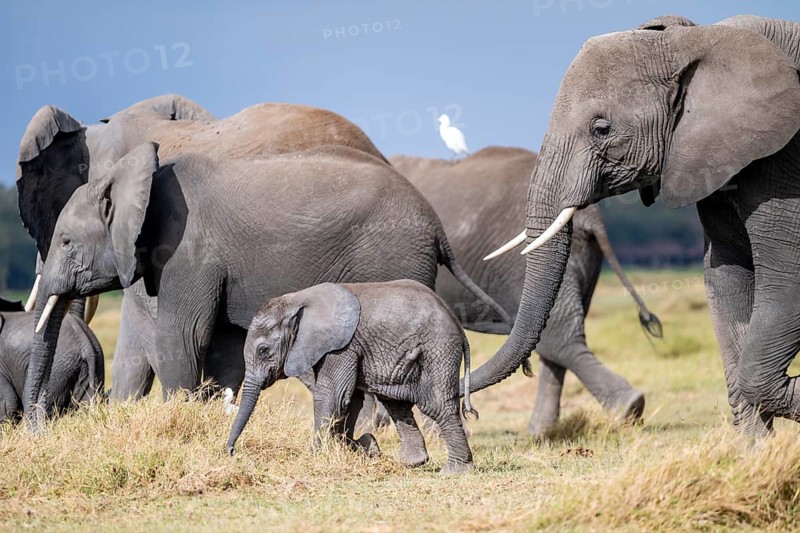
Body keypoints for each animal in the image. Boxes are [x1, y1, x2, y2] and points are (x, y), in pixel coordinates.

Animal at [22, 139, 508, 431]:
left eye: (65, 242)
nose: (37, 425)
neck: (135, 177)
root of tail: (436, 225)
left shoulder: (187, 248)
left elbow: (183, 334)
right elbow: (220, 342)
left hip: (392, 256)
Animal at [226, 280, 476, 474]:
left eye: (263, 351)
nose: (231, 452)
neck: (296, 301)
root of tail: (458, 326)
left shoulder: (341, 346)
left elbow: (333, 395)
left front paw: (315, 456)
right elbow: (352, 399)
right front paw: (362, 447)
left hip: (439, 349)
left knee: (436, 404)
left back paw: (455, 471)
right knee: (396, 403)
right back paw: (410, 462)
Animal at [391, 148, 661, 435]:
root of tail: (592, 217)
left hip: (527, 262)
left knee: (558, 340)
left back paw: (626, 408)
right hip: (585, 256)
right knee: (556, 342)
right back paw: (545, 430)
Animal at [465, 14, 800, 437]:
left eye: (602, 129)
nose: (469, 408)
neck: (695, 39)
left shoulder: (783, 161)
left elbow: (785, 276)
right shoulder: (715, 158)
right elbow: (725, 277)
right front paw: (756, 449)